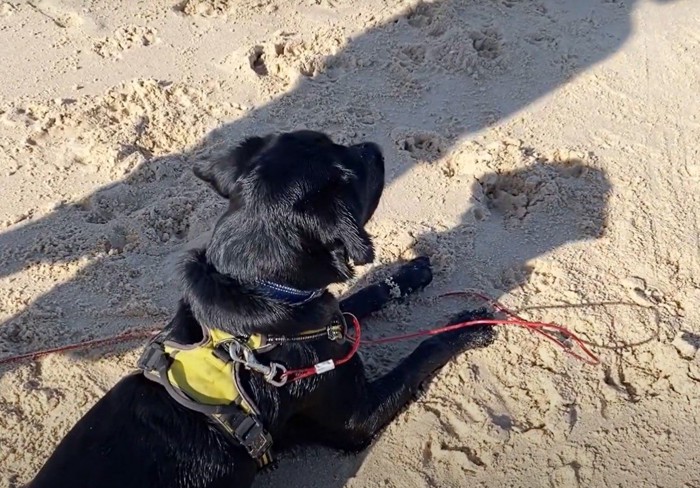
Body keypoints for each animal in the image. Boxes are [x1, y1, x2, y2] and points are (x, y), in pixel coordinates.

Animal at [28, 131, 498, 488]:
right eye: (350, 176)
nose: (371, 146)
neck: (253, 287)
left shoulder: (323, 317)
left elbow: (356, 299)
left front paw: (409, 274)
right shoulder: (357, 418)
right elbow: (420, 353)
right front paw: (469, 325)